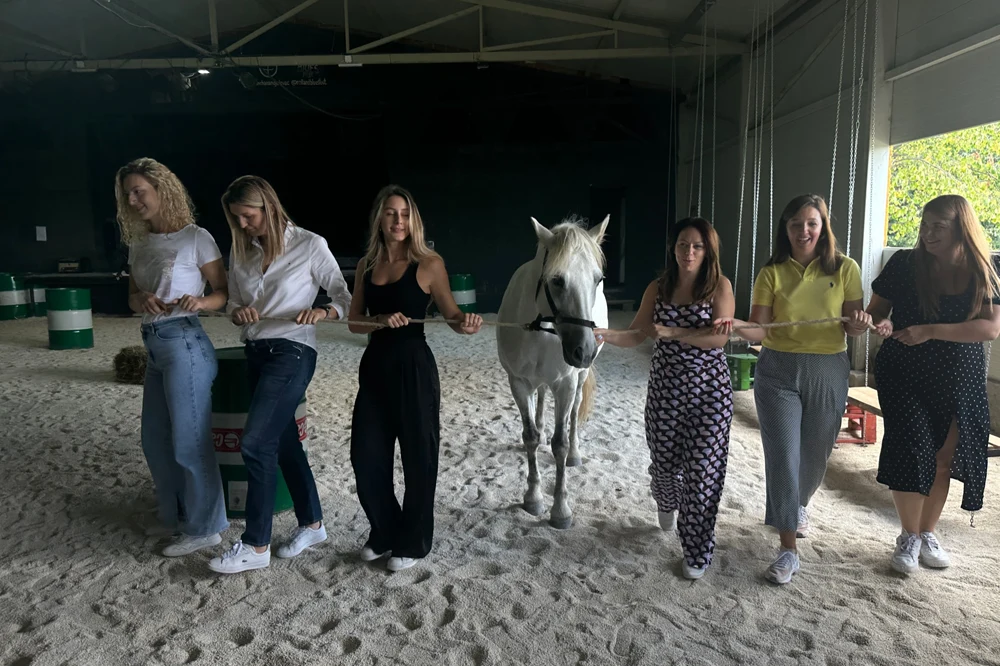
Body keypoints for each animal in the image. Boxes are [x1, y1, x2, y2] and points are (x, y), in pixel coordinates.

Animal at [496, 215, 609, 529]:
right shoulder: (518, 383)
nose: (584, 351)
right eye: (557, 280)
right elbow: (530, 436)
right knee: (541, 399)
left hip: (577, 380)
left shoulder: (566, 385)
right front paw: (533, 497)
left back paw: (575, 453)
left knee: (573, 414)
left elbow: (559, 444)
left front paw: (560, 509)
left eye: (598, 279)